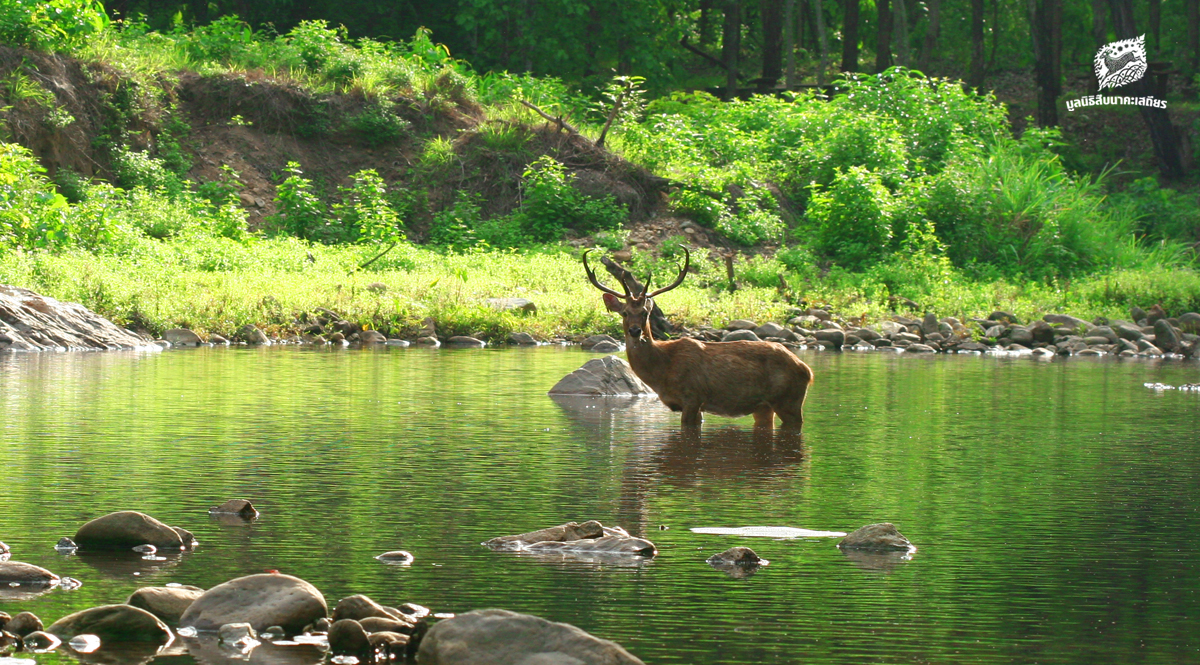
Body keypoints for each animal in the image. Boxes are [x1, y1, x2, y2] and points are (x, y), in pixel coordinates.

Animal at [583, 246, 816, 427]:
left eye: (645, 313)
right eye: (624, 313)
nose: (634, 331)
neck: (662, 371)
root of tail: (807, 370)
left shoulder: (693, 396)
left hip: (789, 399)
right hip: (764, 406)